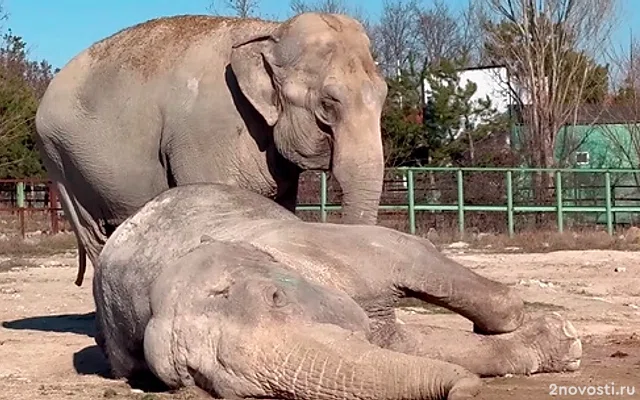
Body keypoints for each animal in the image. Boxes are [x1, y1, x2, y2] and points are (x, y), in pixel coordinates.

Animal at [35, 10, 388, 284]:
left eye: (385, 94)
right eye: (328, 104)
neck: (270, 31)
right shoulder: (205, 135)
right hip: (61, 160)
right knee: (93, 235)